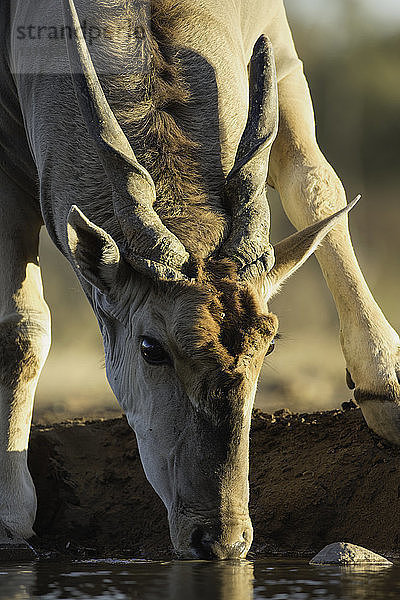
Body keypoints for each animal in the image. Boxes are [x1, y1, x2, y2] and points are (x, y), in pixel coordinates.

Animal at [0, 0, 400, 560]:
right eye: (151, 347)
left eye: (269, 344)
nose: (222, 538)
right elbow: (22, 329)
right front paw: (11, 514)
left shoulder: (280, 50)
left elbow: (316, 185)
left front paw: (388, 387)